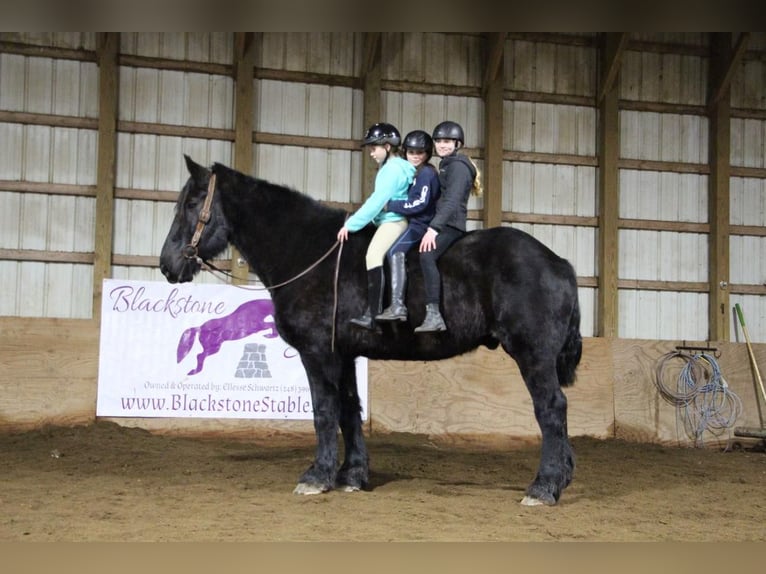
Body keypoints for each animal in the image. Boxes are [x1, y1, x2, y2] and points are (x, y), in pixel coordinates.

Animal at [162, 155, 584, 506]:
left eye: (191, 204)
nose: (168, 265)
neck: (310, 253)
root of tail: (559, 262)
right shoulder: (344, 354)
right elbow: (350, 410)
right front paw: (352, 475)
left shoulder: (318, 353)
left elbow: (324, 411)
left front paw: (317, 477)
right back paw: (560, 478)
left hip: (533, 355)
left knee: (551, 409)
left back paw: (543, 487)